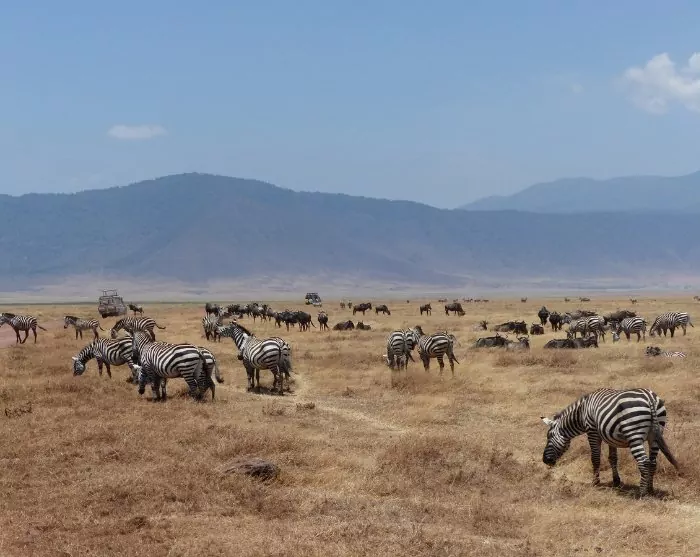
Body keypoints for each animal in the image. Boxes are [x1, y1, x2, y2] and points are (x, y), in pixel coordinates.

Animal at [541, 388, 679, 496]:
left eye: (549, 436)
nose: (545, 460)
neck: (582, 412)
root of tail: (650, 397)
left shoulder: (592, 432)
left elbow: (595, 458)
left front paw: (595, 482)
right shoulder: (610, 436)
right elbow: (613, 458)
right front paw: (616, 481)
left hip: (633, 433)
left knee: (644, 462)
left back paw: (642, 493)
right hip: (656, 434)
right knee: (653, 462)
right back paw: (650, 489)